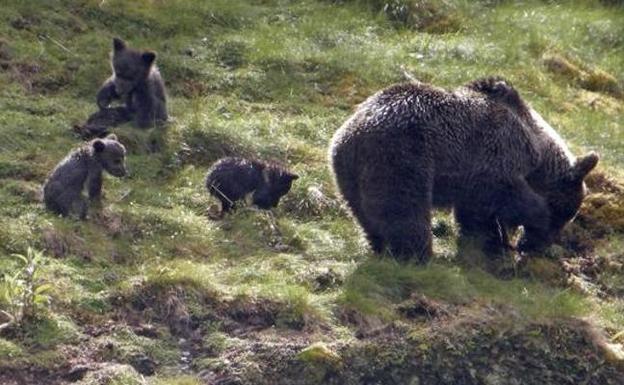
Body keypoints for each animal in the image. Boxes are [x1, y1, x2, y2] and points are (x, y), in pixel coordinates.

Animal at [332, 78, 600, 264]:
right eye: (563, 213)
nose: (534, 246)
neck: (536, 147)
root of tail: (354, 134)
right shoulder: (497, 152)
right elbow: (504, 194)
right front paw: (530, 220)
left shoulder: (472, 177)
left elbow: (475, 213)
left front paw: (486, 243)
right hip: (402, 157)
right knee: (405, 208)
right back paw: (417, 254)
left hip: (347, 173)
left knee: (365, 213)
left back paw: (379, 244)